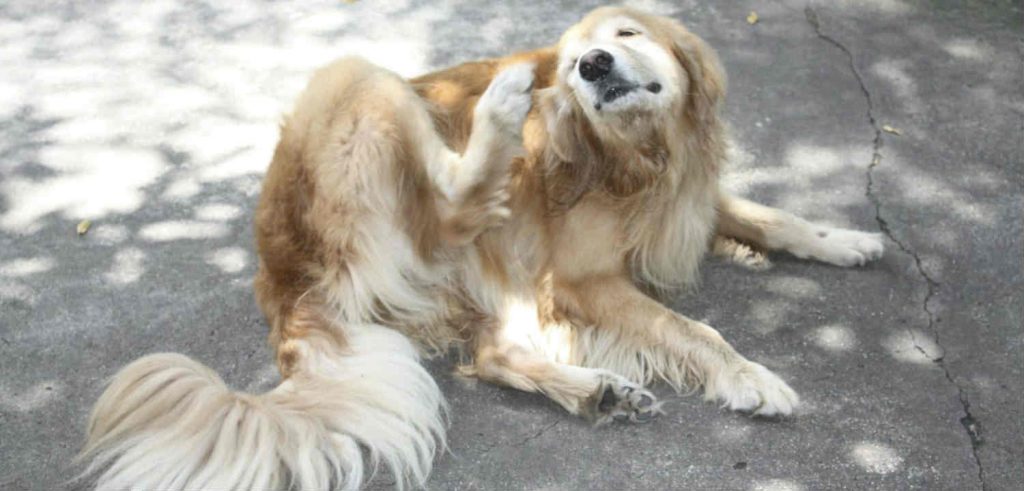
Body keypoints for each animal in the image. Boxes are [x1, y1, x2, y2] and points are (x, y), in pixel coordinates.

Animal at [79, 5, 884, 489]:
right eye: (576, 62)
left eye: (625, 33)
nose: (589, 66)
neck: (639, 156)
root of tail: (278, 275)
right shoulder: (582, 278)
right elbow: (692, 329)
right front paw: (751, 377)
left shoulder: (688, 201)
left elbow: (773, 216)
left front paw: (846, 239)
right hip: (359, 83)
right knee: (449, 211)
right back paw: (497, 111)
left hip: (491, 274)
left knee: (492, 355)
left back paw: (596, 390)